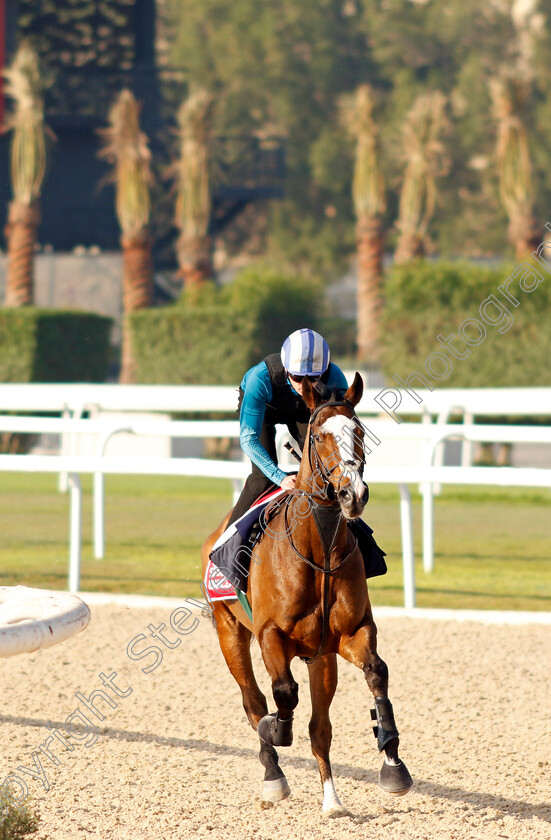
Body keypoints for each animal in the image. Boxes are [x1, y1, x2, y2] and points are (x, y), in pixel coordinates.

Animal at [201, 374, 412, 812]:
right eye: (318, 436)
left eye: (359, 431)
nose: (353, 494)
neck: (318, 553)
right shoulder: (270, 635)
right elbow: (282, 694)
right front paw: (276, 730)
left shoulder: (350, 633)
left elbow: (376, 672)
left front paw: (392, 762)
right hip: (229, 632)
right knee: (253, 702)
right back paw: (273, 775)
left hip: (322, 657)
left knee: (320, 727)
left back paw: (332, 801)